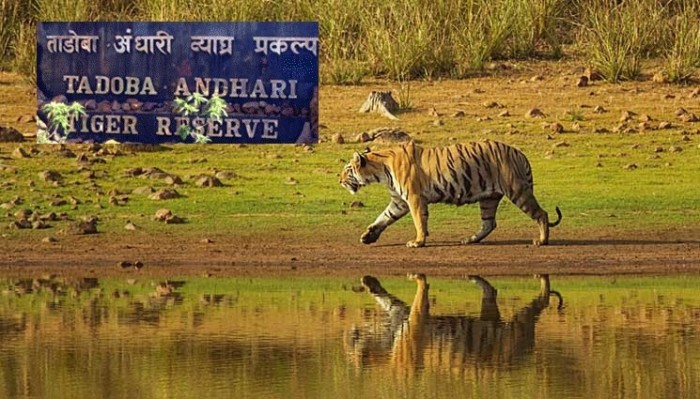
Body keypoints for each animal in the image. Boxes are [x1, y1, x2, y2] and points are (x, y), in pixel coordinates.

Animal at [340, 140, 564, 247]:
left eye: (347, 170)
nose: (339, 180)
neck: (381, 170)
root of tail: (520, 152)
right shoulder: (399, 201)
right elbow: (384, 217)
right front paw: (368, 236)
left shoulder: (413, 198)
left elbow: (418, 221)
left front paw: (418, 242)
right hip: (489, 198)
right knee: (489, 223)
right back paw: (470, 240)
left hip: (517, 190)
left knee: (541, 214)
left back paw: (542, 241)